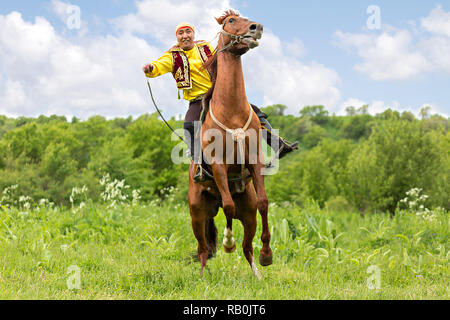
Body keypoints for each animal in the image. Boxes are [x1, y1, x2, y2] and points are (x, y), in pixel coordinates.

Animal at [186, 10, 270, 280]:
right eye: (231, 21)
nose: (257, 27)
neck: (232, 110)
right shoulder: (219, 166)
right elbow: (230, 209)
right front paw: (227, 242)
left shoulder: (255, 161)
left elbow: (264, 203)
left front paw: (267, 253)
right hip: (197, 214)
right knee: (203, 248)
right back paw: (203, 276)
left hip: (248, 214)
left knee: (247, 247)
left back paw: (257, 273)